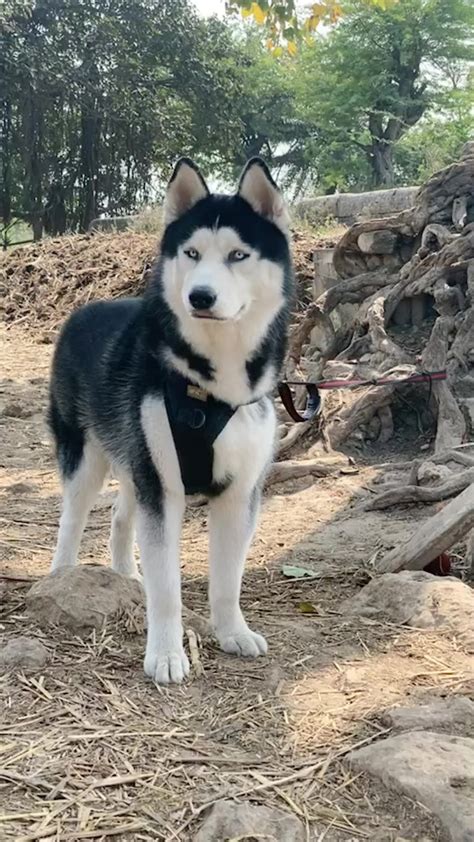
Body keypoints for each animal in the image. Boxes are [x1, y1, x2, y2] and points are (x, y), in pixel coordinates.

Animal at [48, 156, 292, 684]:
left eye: (238, 255)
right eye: (192, 253)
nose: (200, 296)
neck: (212, 387)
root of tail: (82, 308)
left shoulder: (238, 494)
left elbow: (227, 579)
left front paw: (232, 631)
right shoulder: (163, 490)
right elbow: (167, 589)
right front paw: (164, 653)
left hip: (135, 461)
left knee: (122, 516)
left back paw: (125, 573)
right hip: (87, 459)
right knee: (73, 517)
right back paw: (62, 575)